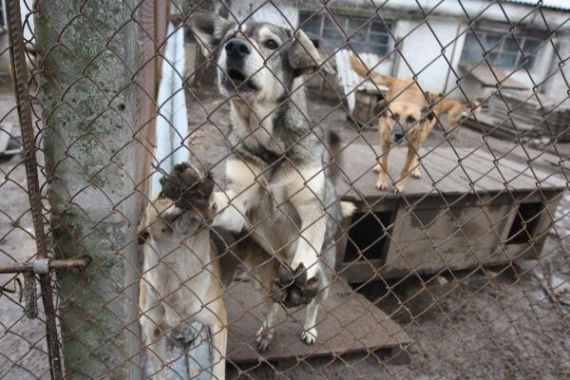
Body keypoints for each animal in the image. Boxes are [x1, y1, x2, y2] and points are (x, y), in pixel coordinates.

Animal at [189, 14, 352, 354]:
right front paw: (193, 194)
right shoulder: (238, 203)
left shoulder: (310, 207)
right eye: (230, 38)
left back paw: (308, 326)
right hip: (260, 277)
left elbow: (306, 247)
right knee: (270, 306)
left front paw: (302, 269)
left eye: (271, 44)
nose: (235, 48)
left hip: (324, 279)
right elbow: (220, 200)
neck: (268, 145)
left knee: (313, 302)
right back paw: (267, 331)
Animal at [346, 55, 434, 193]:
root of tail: (403, 78)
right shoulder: (386, 141)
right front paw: (382, 181)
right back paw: (378, 165)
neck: (407, 98)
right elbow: (385, 165)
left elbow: (405, 168)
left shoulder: (414, 146)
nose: (398, 135)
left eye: (412, 119)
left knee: (415, 157)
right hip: (383, 137)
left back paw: (414, 170)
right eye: (394, 116)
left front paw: (400, 185)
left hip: (420, 140)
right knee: (382, 155)